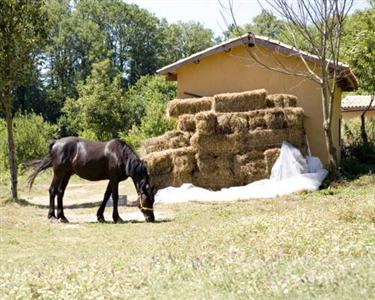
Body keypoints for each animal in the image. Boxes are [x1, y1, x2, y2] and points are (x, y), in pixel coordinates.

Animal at [28, 137, 156, 221]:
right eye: (148, 200)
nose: (151, 218)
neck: (120, 155)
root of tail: (56, 143)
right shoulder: (114, 179)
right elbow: (114, 197)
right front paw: (117, 218)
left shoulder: (112, 180)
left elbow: (106, 195)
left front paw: (100, 216)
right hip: (58, 173)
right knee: (52, 190)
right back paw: (52, 217)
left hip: (67, 174)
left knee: (60, 192)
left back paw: (63, 217)